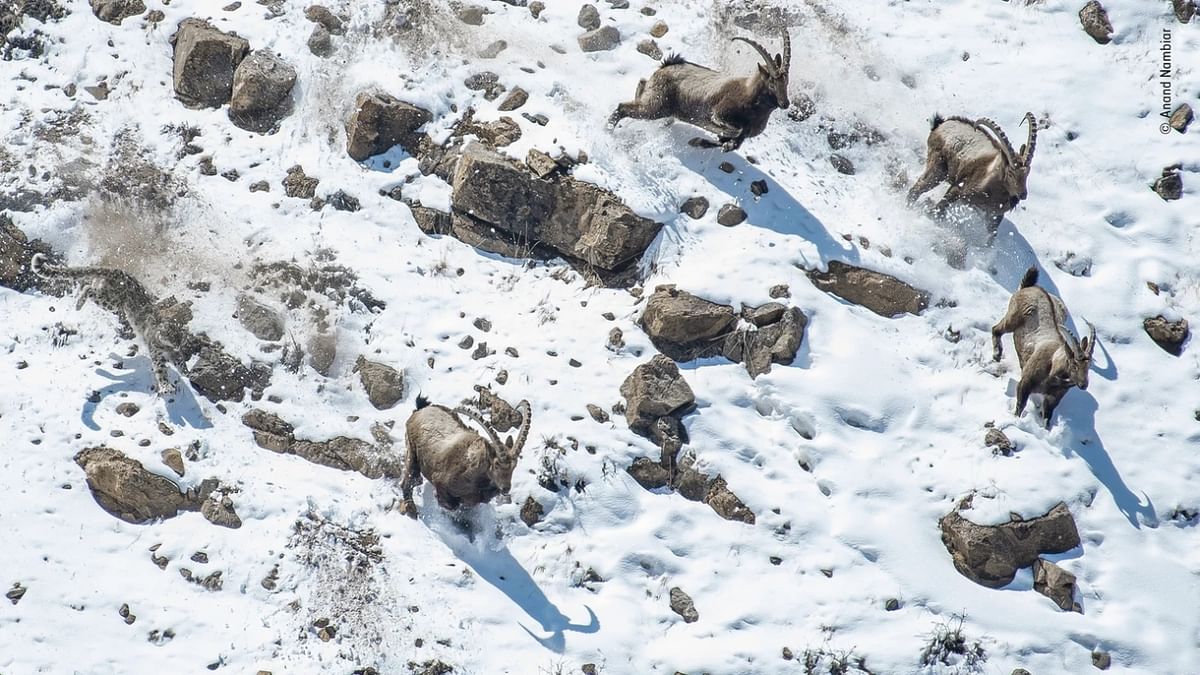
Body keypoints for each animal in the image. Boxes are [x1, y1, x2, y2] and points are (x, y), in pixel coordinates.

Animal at [30, 254, 192, 396]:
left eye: (181, 339)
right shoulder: (156, 353)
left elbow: (180, 362)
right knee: (89, 289)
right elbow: (161, 370)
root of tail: (116, 270)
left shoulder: (173, 354)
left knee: (88, 284)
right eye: (172, 337)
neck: (166, 348)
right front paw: (166, 387)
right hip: (111, 301)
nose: (178, 346)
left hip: (107, 298)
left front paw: (186, 372)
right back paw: (78, 304)